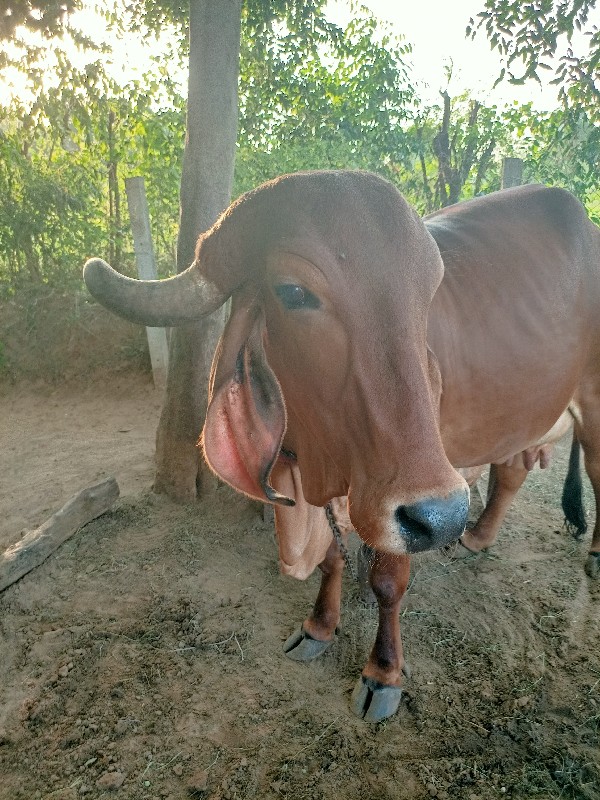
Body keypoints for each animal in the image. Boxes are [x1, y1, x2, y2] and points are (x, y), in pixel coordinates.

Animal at [85, 175, 600, 724]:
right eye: (293, 291)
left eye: (426, 297)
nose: (446, 518)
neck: (307, 460)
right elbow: (332, 560)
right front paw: (319, 626)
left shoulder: (403, 499)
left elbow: (388, 580)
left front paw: (383, 672)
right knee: (512, 470)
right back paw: (477, 537)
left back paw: (588, 553)